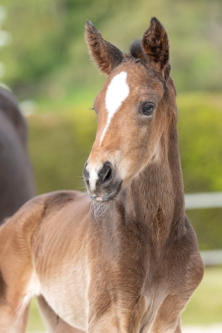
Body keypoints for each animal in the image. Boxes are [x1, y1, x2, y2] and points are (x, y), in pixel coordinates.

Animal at [0, 18, 203, 332]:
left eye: (148, 106)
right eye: (95, 108)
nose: (96, 175)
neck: (157, 238)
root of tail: (16, 217)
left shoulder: (169, 319)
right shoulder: (110, 319)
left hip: (61, 317)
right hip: (11, 310)